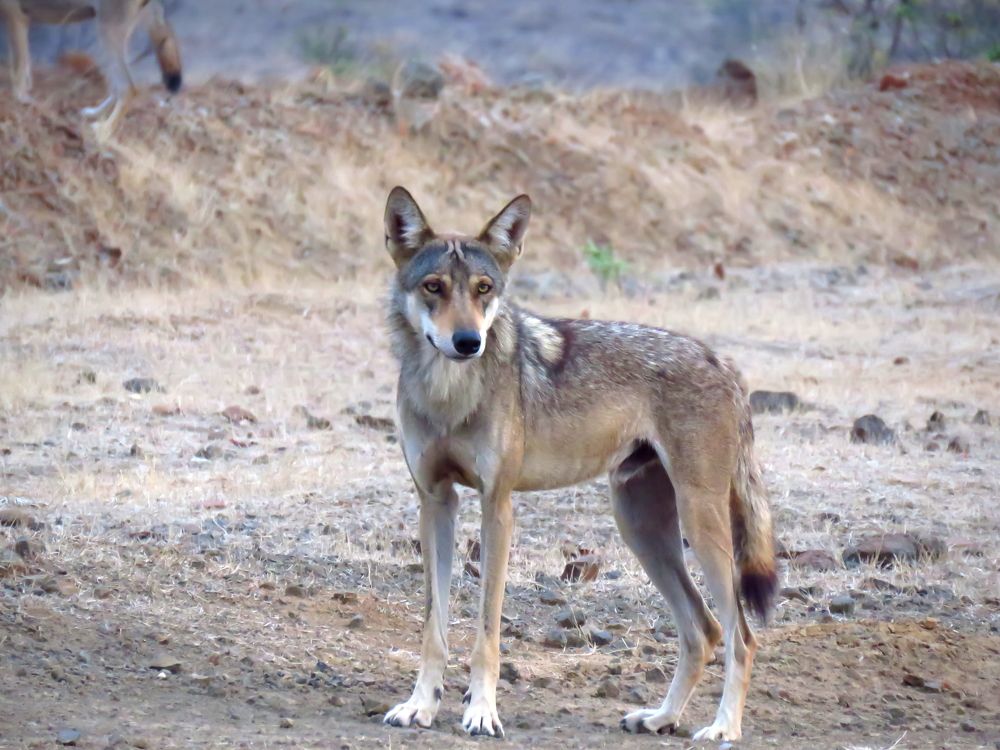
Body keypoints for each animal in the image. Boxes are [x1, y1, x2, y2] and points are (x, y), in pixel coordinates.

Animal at [1, 0, 181, 129]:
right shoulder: (21, 19)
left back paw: (102, 132)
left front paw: (22, 100)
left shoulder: (15, 15)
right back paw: (94, 114)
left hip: (106, 32)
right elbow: (25, 67)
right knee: (123, 86)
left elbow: (18, 66)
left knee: (128, 87)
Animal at [381, 186, 777, 741]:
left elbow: (486, 631)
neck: (448, 393)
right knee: (704, 629)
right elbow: (433, 627)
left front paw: (481, 712)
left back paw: (722, 729)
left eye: (484, 289)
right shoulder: (436, 503)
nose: (468, 342)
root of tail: (724, 363)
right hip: (642, 530)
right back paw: (660, 718)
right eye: (434, 287)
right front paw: (420, 706)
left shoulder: (497, 507)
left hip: (700, 525)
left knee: (742, 635)